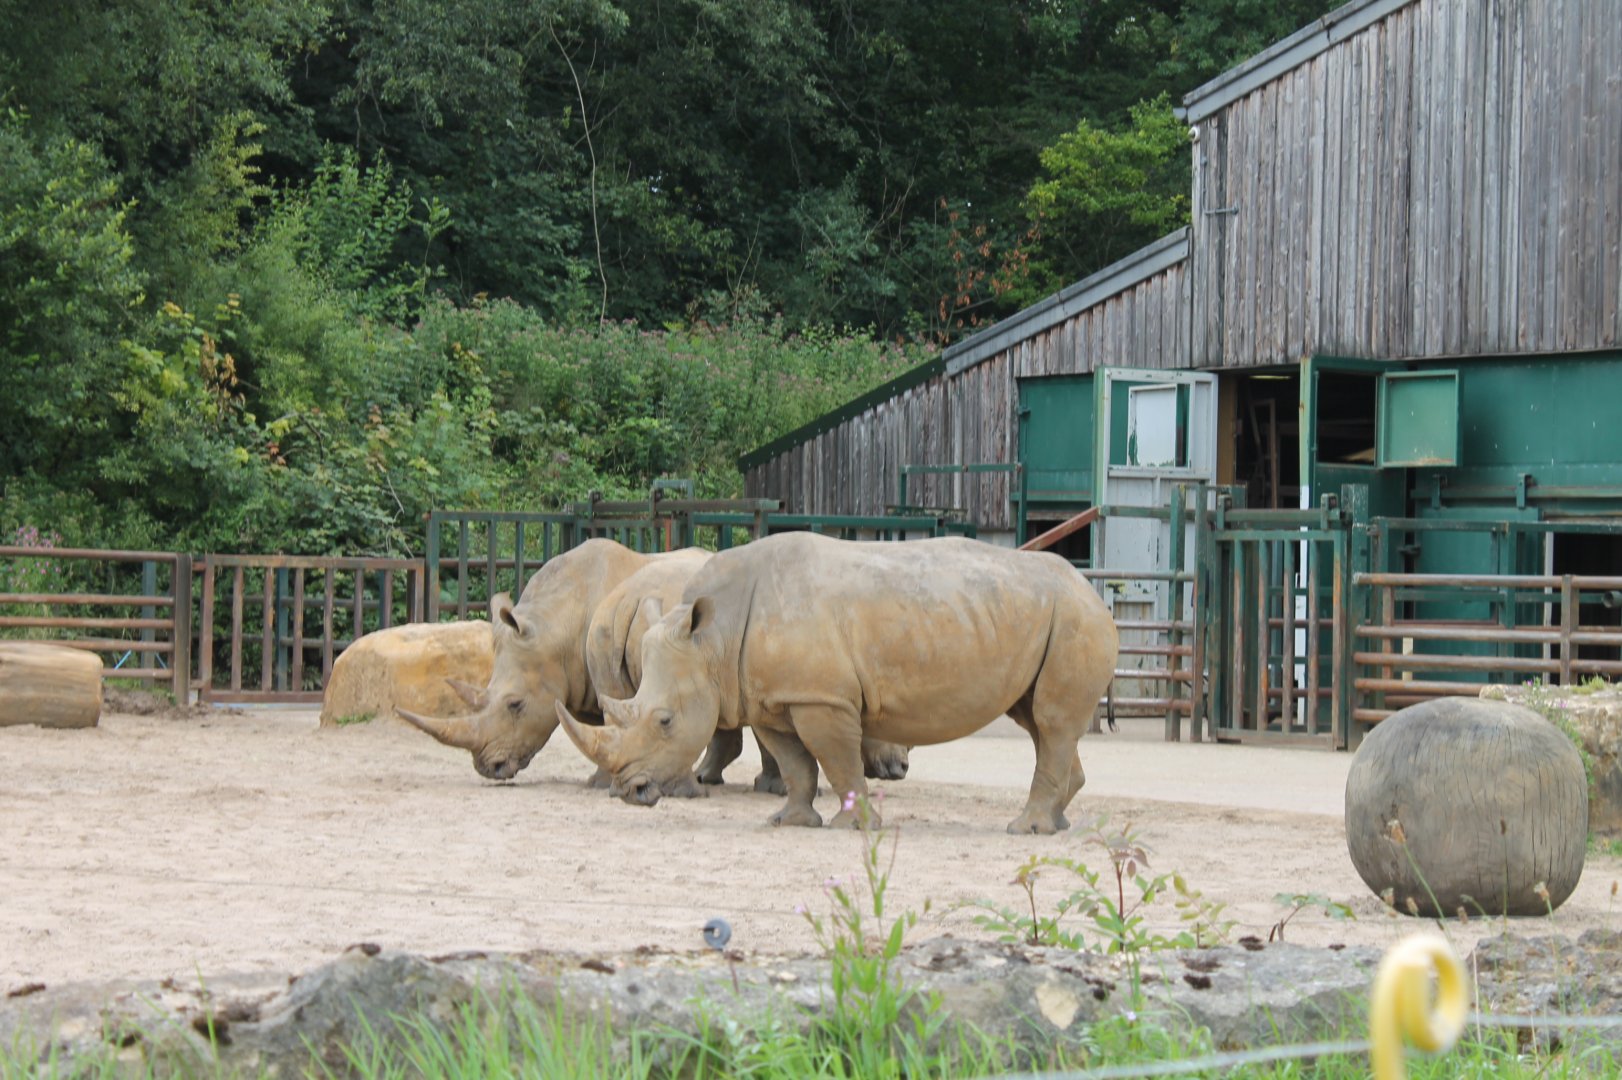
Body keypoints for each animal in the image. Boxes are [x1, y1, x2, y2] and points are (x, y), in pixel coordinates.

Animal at [556, 532, 1118, 834]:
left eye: (665, 721)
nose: (630, 792)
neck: (712, 639)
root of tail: (1093, 589)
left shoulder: (821, 699)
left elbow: (838, 760)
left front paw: (854, 826)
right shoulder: (773, 699)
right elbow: (796, 764)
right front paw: (790, 821)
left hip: (1075, 618)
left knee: (1050, 722)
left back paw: (1027, 830)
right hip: (1045, 616)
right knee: (1039, 721)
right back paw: (1058, 824)